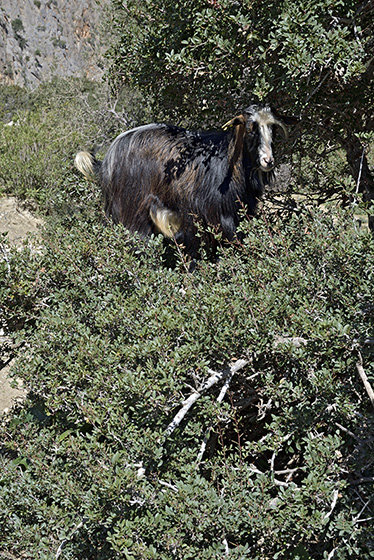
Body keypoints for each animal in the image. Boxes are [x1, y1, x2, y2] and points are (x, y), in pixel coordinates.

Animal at [74, 104, 292, 255]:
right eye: (250, 129)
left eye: (272, 129)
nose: (268, 160)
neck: (227, 163)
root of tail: (107, 161)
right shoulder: (212, 217)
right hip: (131, 211)